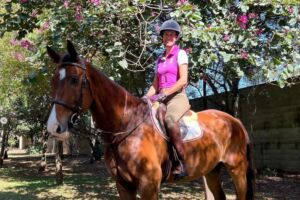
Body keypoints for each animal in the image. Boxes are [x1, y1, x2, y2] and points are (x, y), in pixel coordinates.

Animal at [46, 41, 253, 200]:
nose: (53, 127)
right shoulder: (123, 186)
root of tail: (234, 121)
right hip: (212, 170)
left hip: (237, 169)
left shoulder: (148, 185)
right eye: (53, 82)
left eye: (74, 79)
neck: (126, 126)